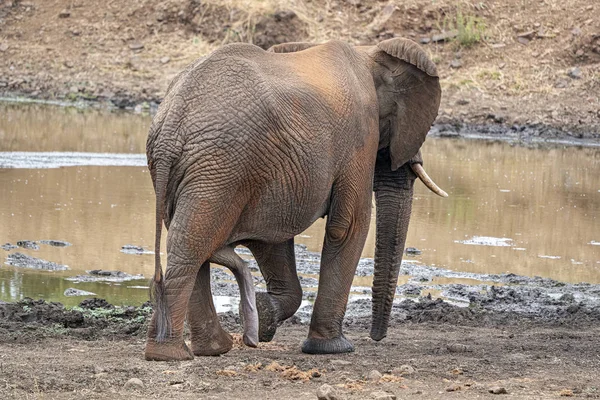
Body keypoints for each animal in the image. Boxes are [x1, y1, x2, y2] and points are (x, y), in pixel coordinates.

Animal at [144, 38, 446, 362]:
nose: (376, 338)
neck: (369, 54)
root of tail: (170, 126)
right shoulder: (360, 135)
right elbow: (350, 225)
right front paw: (333, 348)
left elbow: (272, 240)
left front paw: (264, 316)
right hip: (220, 167)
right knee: (192, 244)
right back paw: (172, 354)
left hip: (203, 169)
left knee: (190, 241)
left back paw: (209, 349)